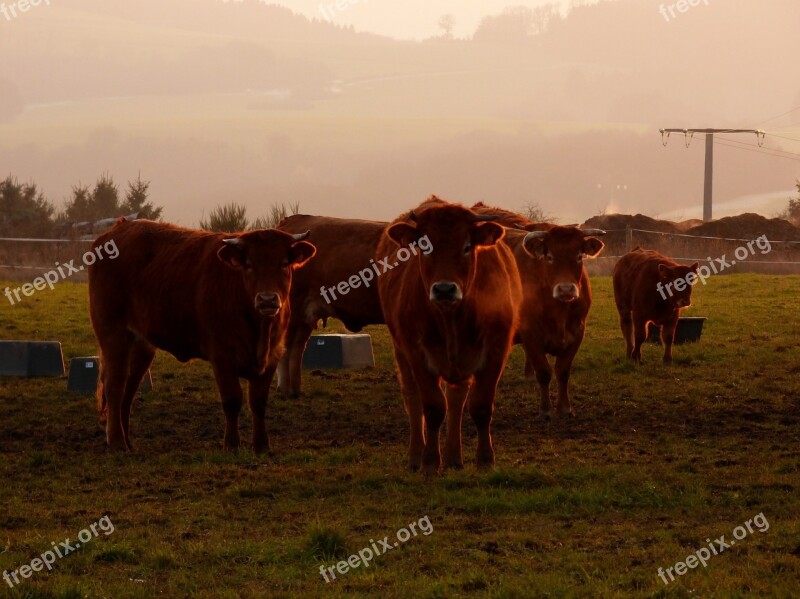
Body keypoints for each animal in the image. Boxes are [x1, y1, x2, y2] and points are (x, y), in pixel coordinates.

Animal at [86, 218, 312, 452]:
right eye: (249, 265)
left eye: (284, 264)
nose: (267, 299)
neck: (259, 329)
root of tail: (120, 226)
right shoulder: (222, 356)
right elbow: (232, 400)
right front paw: (232, 445)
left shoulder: (272, 355)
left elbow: (258, 403)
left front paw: (261, 447)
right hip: (113, 333)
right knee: (115, 385)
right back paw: (117, 441)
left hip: (141, 344)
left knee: (129, 388)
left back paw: (127, 440)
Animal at [276, 216, 388, 398]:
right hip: (292, 312)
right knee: (286, 350)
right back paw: (285, 390)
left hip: (304, 317)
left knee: (296, 349)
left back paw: (296, 390)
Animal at [376, 197, 520, 474]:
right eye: (424, 246)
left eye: (467, 247)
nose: (444, 289)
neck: (452, 318)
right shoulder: (417, 354)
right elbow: (432, 408)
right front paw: (430, 462)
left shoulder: (495, 352)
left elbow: (481, 407)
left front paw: (485, 461)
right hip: (401, 352)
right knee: (413, 400)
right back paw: (416, 456)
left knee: (456, 399)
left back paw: (454, 457)